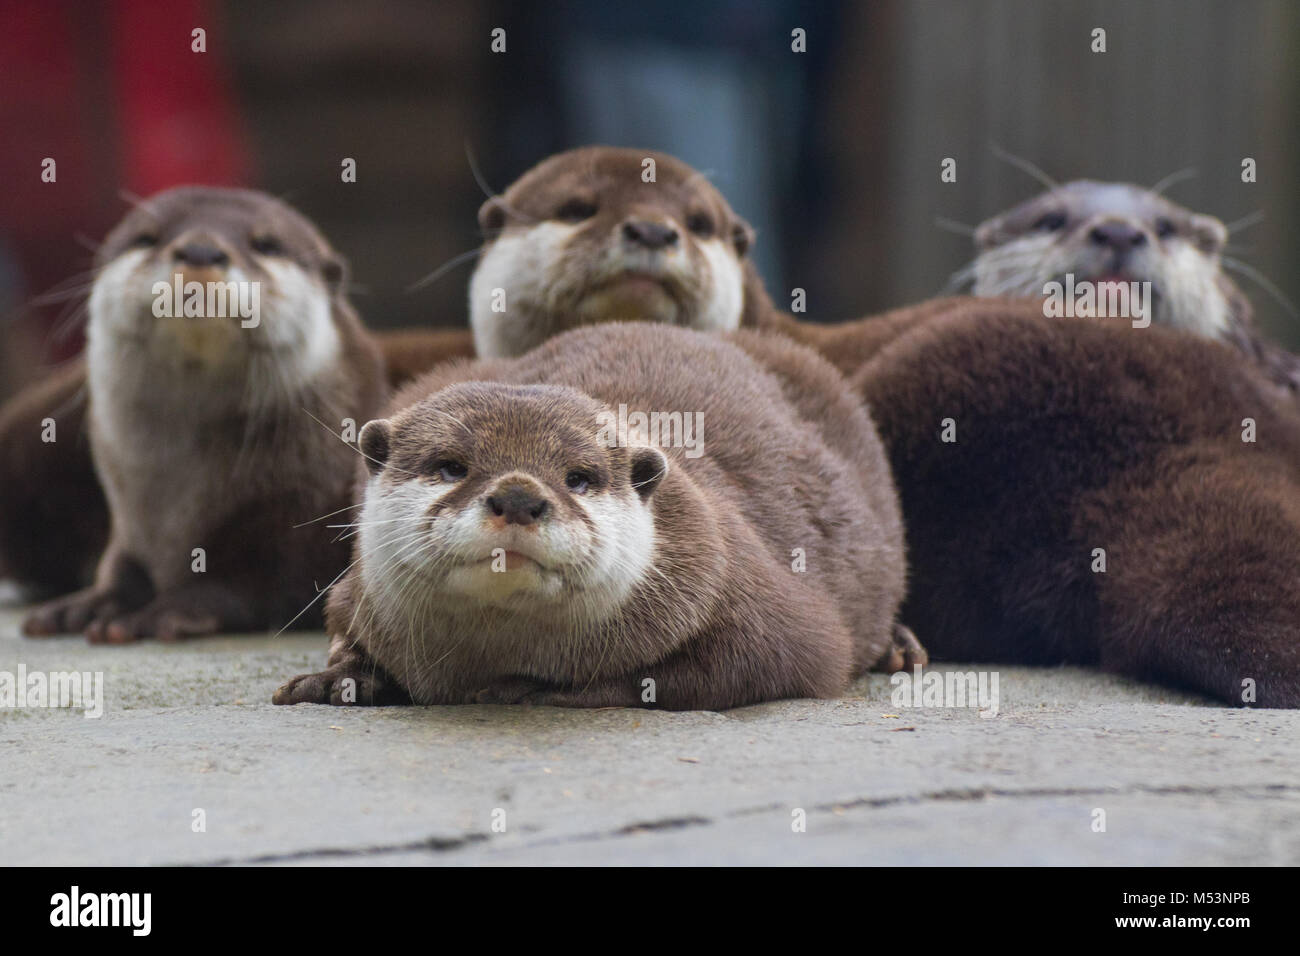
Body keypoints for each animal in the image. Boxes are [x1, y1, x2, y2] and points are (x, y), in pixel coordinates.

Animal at [21, 184, 384, 642]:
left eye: (266, 244)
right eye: (147, 237)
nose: (199, 250)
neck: (174, 496)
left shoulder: (303, 522)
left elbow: (255, 577)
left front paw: (168, 609)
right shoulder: (129, 522)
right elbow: (122, 567)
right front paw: (90, 604)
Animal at [273, 323, 915, 712]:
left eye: (578, 478)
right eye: (451, 467)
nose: (518, 496)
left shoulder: (748, 591)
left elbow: (740, 666)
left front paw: (530, 689)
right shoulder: (355, 592)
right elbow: (344, 630)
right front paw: (337, 677)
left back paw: (900, 648)